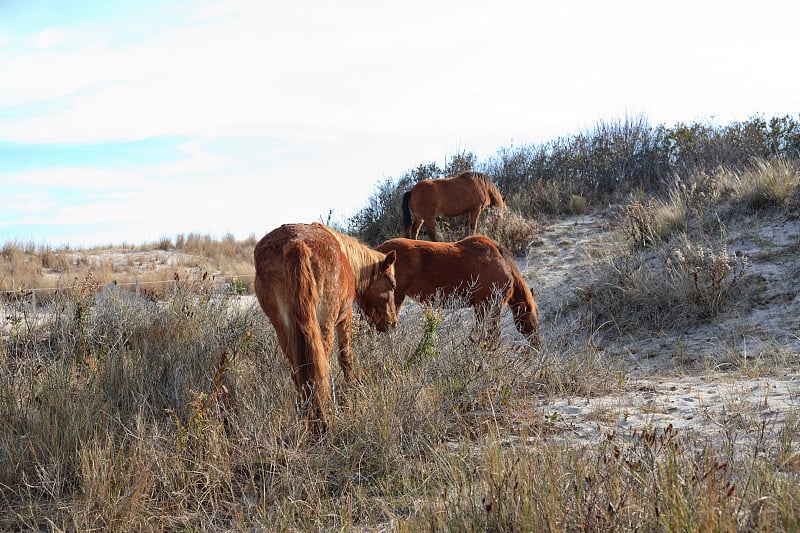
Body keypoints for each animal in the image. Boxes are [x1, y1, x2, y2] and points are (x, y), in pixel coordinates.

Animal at [253, 221, 396, 428]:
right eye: (392, 285)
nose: (392, 322)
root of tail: (296, 244)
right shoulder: (345, 317)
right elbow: (345, 356)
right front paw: (352, 388)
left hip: (284, 331)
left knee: (299, 371)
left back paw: (306, 413)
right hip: (325, 325)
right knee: (321, 370)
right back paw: (322, 417)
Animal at [376, 235, 540, 348]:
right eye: (534, 312)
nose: (537, 344)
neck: (502, 263)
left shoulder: (481, 308)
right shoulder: (489, 306)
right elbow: (490, 335)